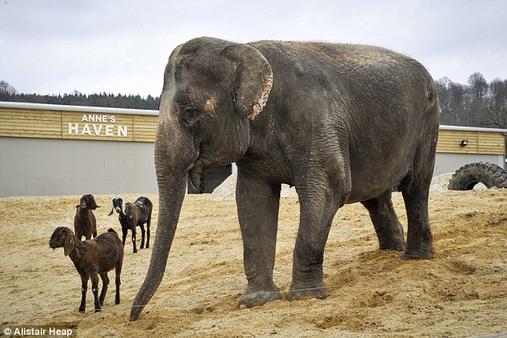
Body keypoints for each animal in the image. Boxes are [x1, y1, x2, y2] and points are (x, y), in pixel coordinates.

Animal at [131, 36, 440, 320]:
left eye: (191, 112)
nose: (135, 317)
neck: (242, 47)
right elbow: (253, 200)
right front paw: (257, 301)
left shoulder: (317, 123)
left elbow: (329, 188)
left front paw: (305, 296)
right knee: (376, 197)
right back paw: (390, 252)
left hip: (428, 125)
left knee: (415, 186)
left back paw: (415, 257)